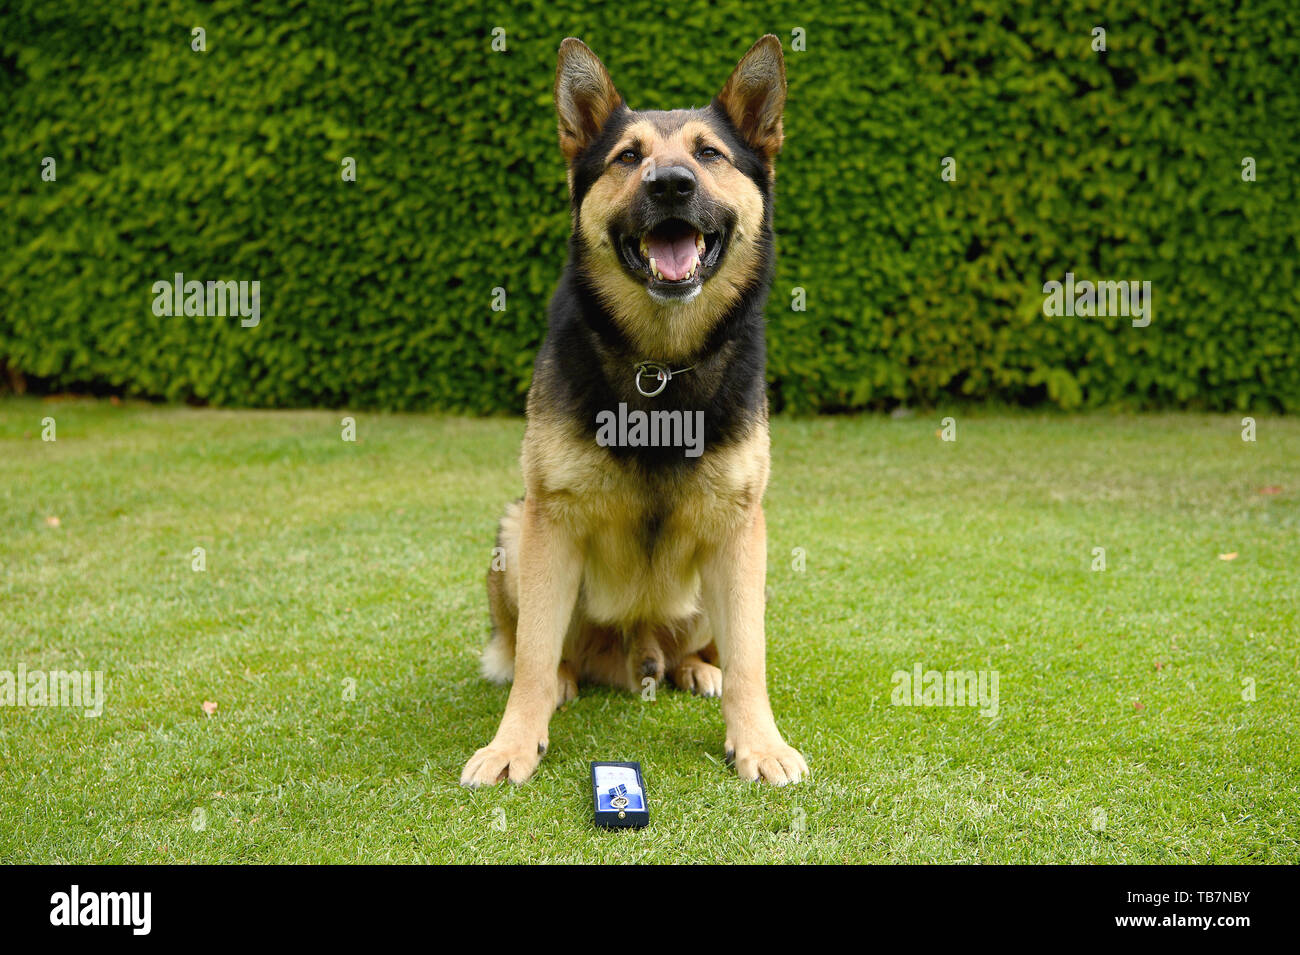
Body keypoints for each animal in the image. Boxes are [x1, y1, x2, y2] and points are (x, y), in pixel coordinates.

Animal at [454, 33, 800, 789]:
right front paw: (513, 742)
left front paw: (757, 742)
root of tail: (638, 651)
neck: (658, 367)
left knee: (707, 651)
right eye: (626, 157)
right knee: (540, 649)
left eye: (709, 154)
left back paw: (696, 668)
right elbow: (529, 659)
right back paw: (565, 677)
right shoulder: (551, 521)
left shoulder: (740, 529)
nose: (669, 184)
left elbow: (751, 660)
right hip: (516, 528)